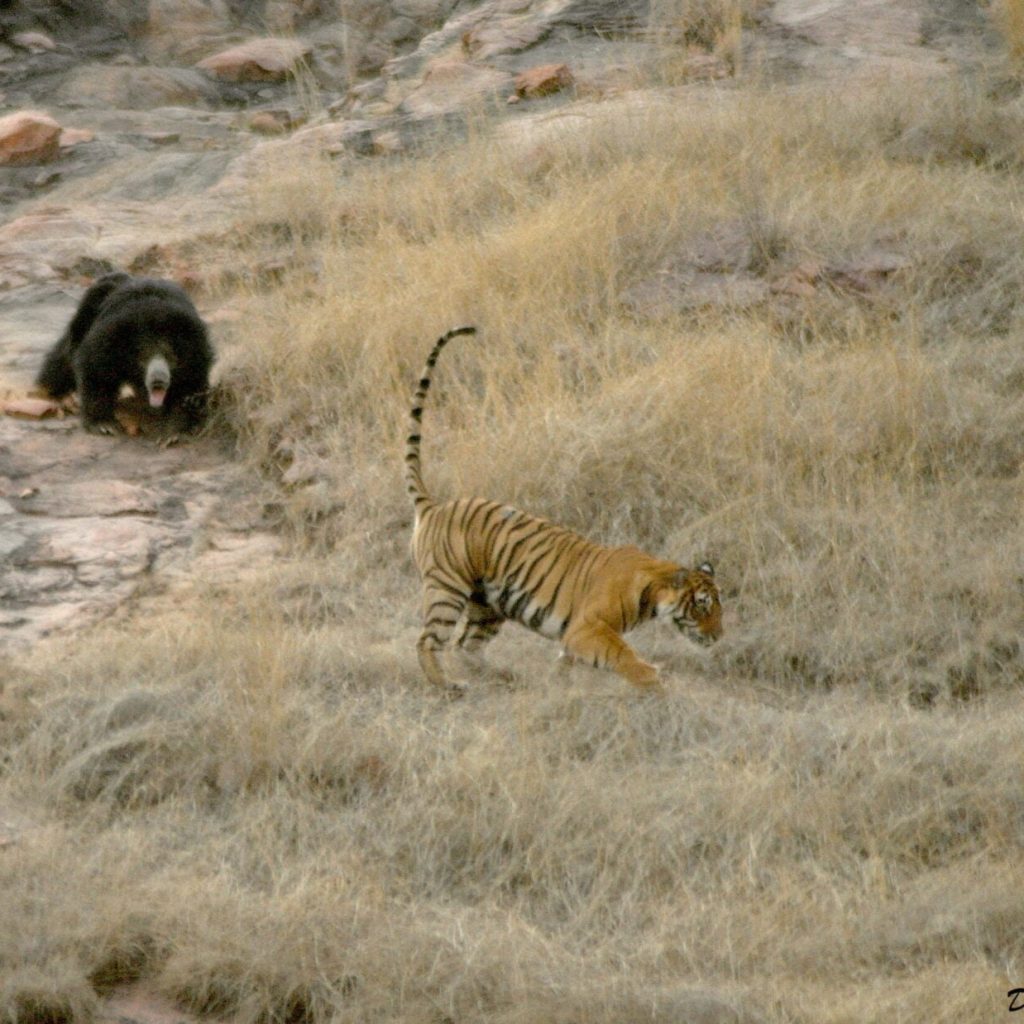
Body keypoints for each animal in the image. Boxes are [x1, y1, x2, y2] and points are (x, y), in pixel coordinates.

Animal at [37, 270, 214, 438]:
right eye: (144, 358)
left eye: (171, 358)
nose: (158, 380)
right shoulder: (109, 338)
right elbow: (95, 371)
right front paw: (104, 425)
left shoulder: (197, 352)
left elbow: (190, 388)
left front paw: (175, 433)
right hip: (84, 317)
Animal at [403, 327, 724, 696]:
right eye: (702, 604)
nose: (719, 636)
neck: (654, 586)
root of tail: (435, 506)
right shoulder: (588, 627)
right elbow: (623, 655)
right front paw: (654, 683)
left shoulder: (574, 636)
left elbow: (567, 661)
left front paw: (557, 684)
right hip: (448, 589)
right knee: (428, 641)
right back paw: (448, 685)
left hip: (488, 604)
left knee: (465, 645)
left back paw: (502, 677)